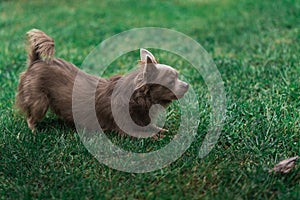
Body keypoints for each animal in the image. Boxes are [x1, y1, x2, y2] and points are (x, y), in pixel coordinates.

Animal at [16, 28, 189, 138]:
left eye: (178, 77)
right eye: (171, 81)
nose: (188, 85)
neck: (138, 98)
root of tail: (36, 61)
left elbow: (153, 127)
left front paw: (163, 130)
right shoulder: (127, 129)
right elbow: (145, 135)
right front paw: (157, 137)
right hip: (40, 102)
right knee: (31, 117)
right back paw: (34, 131)